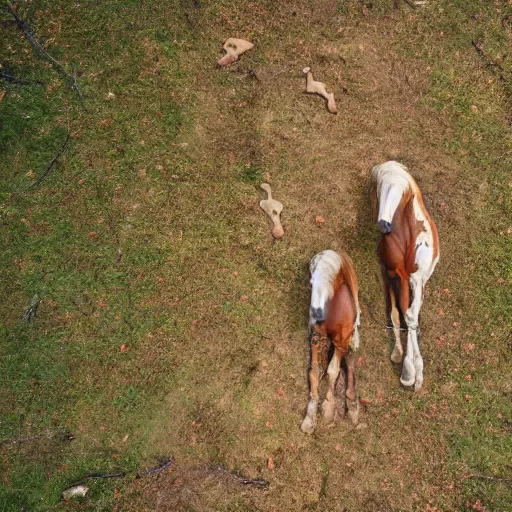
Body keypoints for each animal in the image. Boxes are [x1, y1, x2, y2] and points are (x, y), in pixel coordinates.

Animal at [300, 250, 360, 434]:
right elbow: (314, 370)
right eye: (310, 280)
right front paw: (310, 418)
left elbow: (333, 370)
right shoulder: (317, 337)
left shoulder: (341, 343)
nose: (314, 314)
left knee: (349, 362)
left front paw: (328, 408)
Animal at [370, 162, 438, 390]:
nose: (384, 224)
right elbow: (402, 313)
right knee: (413, 314)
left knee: (408, 313)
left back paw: (409, 373)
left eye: (379, 188)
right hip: (419, 282)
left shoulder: (390, 272)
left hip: (407, 278)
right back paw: (416, 374)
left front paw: (402, 360)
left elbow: (394, 312)